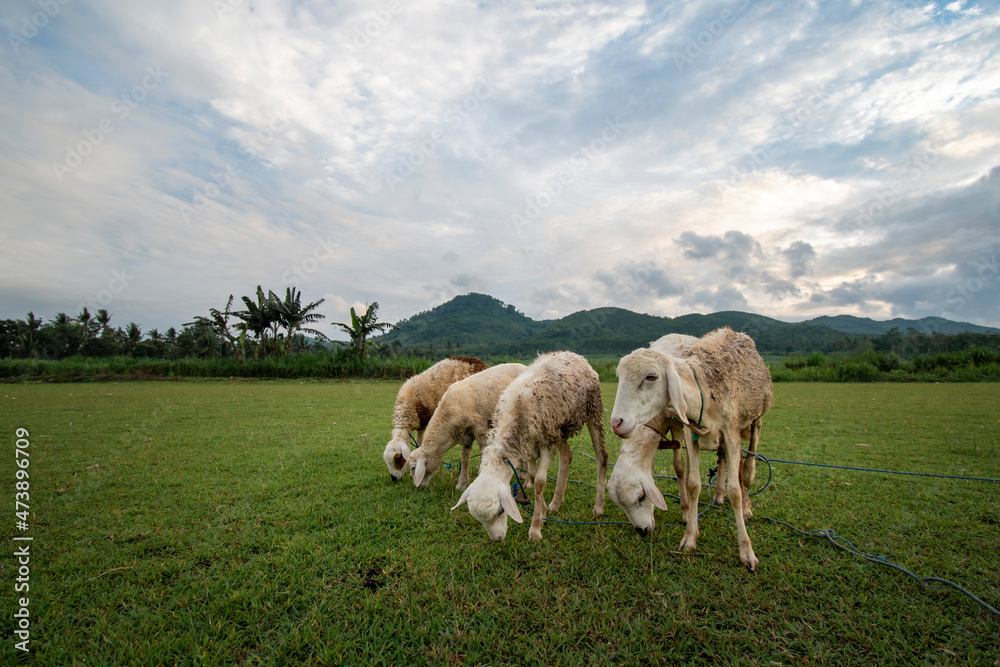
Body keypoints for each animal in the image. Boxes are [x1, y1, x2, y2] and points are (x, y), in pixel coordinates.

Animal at [452, 351, 608, 542]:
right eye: (479, 520)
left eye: (500, 511)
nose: (498, 539)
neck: (513, 416)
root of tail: (575, 356)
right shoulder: (529, 446)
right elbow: (533, 477)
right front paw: (543, 512)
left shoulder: (545, 443)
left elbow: (539, 482)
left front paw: (535, 528)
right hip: (558, 427)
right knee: (567, 456)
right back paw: (556, 503)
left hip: (592, 409)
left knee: (601, 456)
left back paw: (599, 506)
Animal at [609, 327, 772, 571]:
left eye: (651, 376)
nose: (616, 423)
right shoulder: (688, 429)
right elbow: (690, 480)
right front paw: (690, 535)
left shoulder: (726, 431)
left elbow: (733, 489)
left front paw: (746, 552)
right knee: (722, 460)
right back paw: (718, 495)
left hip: (755, 418)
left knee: (746, 463)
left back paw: (746, 502)